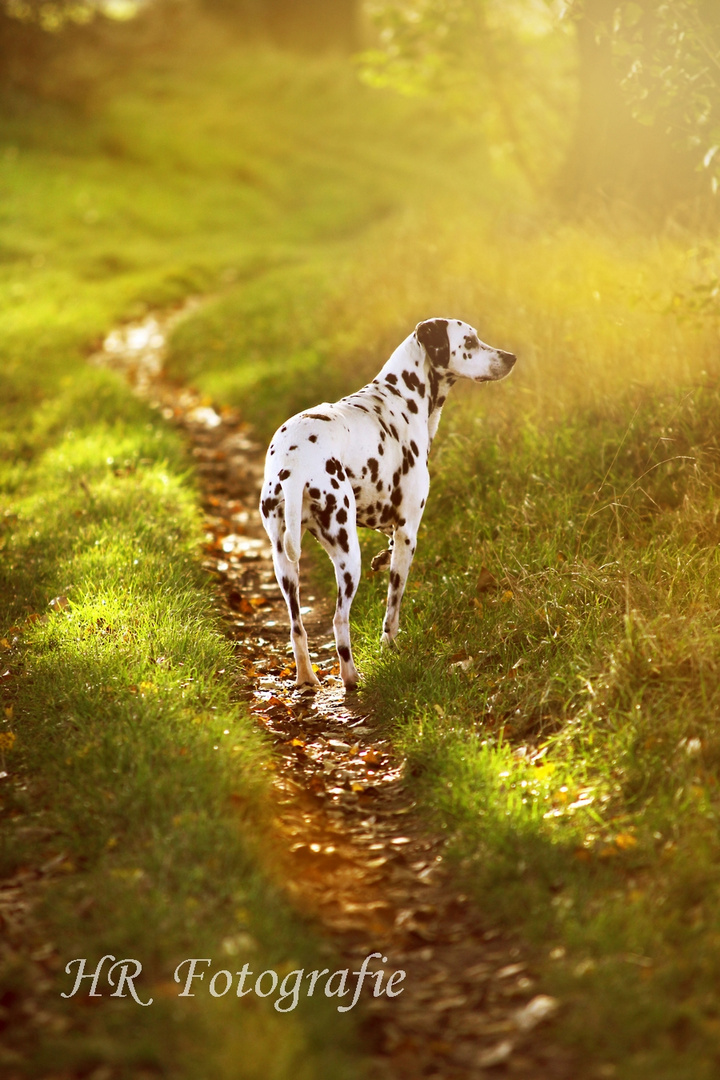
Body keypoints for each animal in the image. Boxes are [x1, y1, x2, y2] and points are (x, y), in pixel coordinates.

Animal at [262, 317, 515, 691]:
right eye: (469, 341)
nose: (511, 357)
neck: (401, 396)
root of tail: (293, 465)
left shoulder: (387, 522)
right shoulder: (409, 532)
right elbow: (393, 606)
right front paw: (390, 646)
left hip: (285, 568)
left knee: (297, 629)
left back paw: (307, 678)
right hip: (347, 557)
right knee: (339, 621)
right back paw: (351, 678)